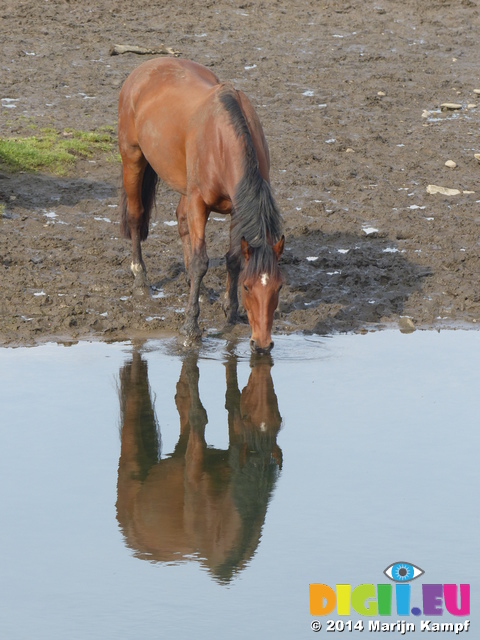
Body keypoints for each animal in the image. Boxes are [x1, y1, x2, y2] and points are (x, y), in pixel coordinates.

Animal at [119, 57, 284, 352]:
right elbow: (200, 262)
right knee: (136, 216)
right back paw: (140, 279)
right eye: (247, 287)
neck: (223, 140)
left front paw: (230, 310)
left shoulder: (237, 208)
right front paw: (190, 328)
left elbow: (233, 259)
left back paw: (199, 290)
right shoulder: (199, 203)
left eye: (278, 287)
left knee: (181, 220)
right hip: (132, 158)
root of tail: (146, 67)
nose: (262, 344)